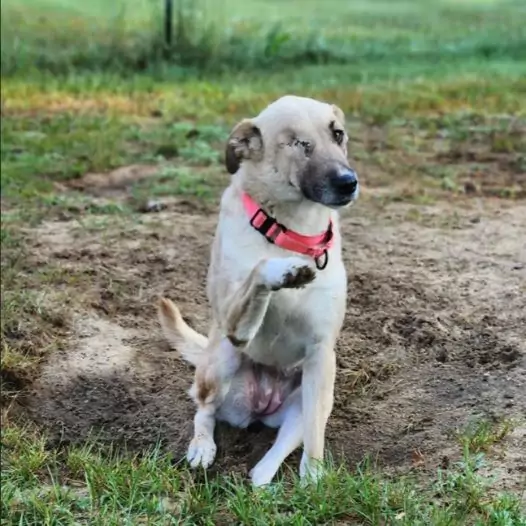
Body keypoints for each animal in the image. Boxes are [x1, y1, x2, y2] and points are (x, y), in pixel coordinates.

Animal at [159, 95, 360, 486]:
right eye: (298, 143)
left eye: (338, 134)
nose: (348, 182)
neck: (294, 233)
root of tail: (260, 404)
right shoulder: (235, 324)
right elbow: (259, 269)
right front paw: (284, 270)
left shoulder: (321, 354)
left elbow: (315, 436)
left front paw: (314, 479)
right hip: (221, 361)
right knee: (203, 409)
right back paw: (202, 447)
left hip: (311, 393)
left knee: (271, 457)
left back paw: (262, 481)